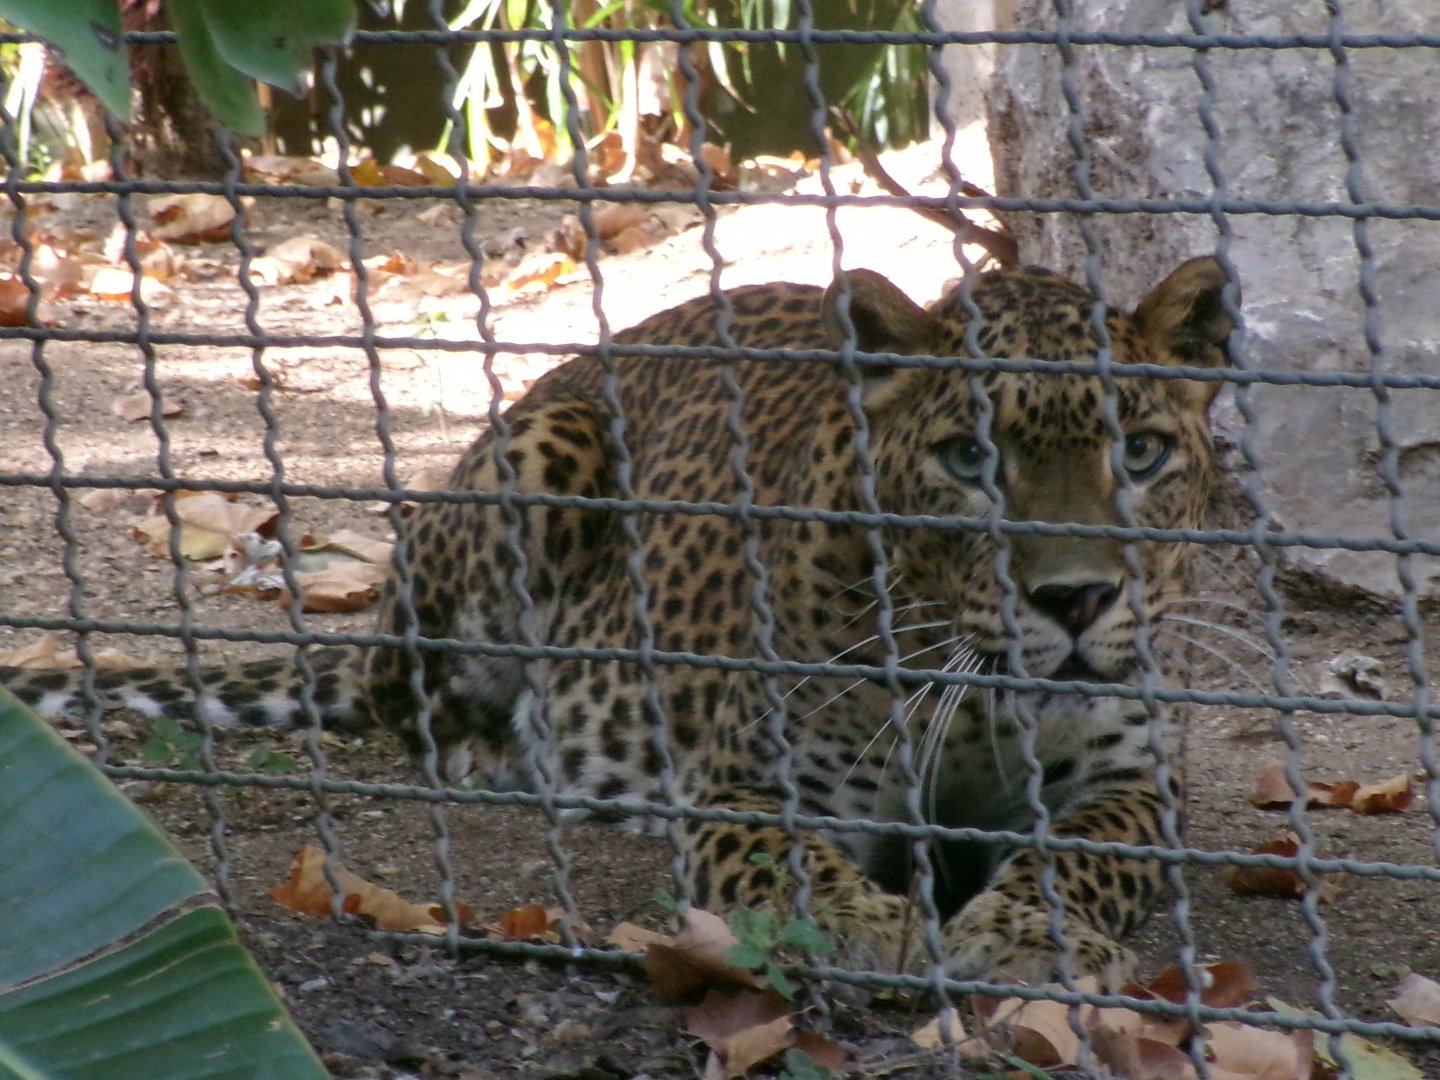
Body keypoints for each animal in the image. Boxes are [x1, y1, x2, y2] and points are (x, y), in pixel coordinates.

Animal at [4, 256, 1237, 989]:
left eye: (1141, 452)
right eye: (970, 460)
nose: (1076, 599)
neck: (975, 699)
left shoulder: (1135, 781)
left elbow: (1086, 854)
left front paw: (1024, 932)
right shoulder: (755, 787)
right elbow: (786, 858)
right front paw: (870, 924)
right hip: (540, 459)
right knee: (421, 704)